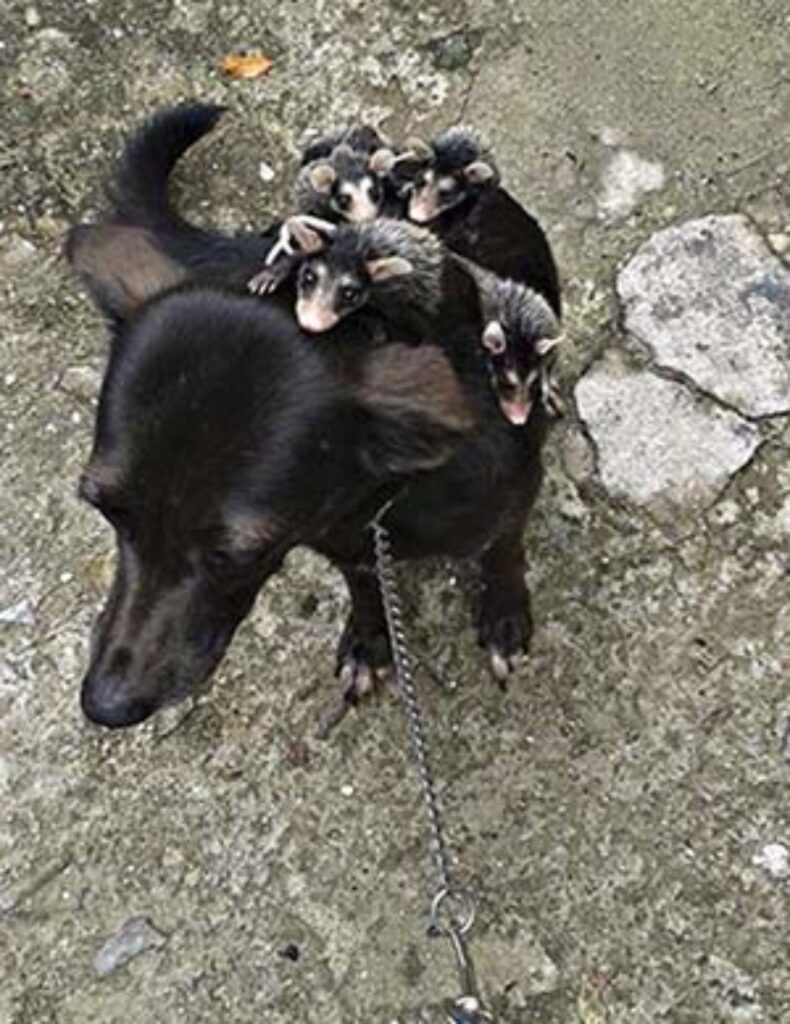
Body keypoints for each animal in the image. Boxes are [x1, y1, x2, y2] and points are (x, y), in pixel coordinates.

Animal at [66, 105, 549, 729]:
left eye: (234, 555)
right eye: (104, 509)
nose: (106, 705)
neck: (377, 498)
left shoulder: (514, 497)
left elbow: (504, 552)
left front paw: (505, 614)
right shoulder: (341, 544)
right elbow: (364, 587)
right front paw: (369, 640)